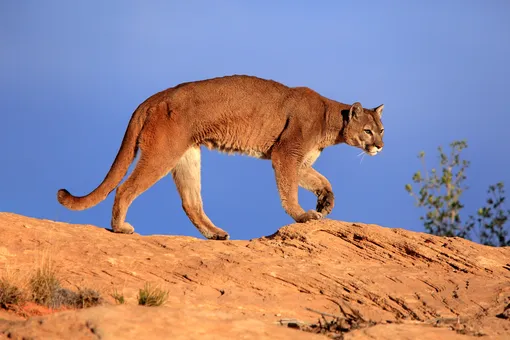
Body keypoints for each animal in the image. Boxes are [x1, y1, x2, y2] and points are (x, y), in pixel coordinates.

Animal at [56, 74, 382, 239]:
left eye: (381, 129)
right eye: (368, 131)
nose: (380, 146)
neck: (332, 120)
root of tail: (154, 97)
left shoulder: (299, 161)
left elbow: (321, 180)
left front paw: (326, 202)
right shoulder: (285, 154)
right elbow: (288, 190)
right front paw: (302, 215)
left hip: (186, 155)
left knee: (191, 202)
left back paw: (215, 234)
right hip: (162, 152)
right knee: (124, 188)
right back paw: (121, 228)